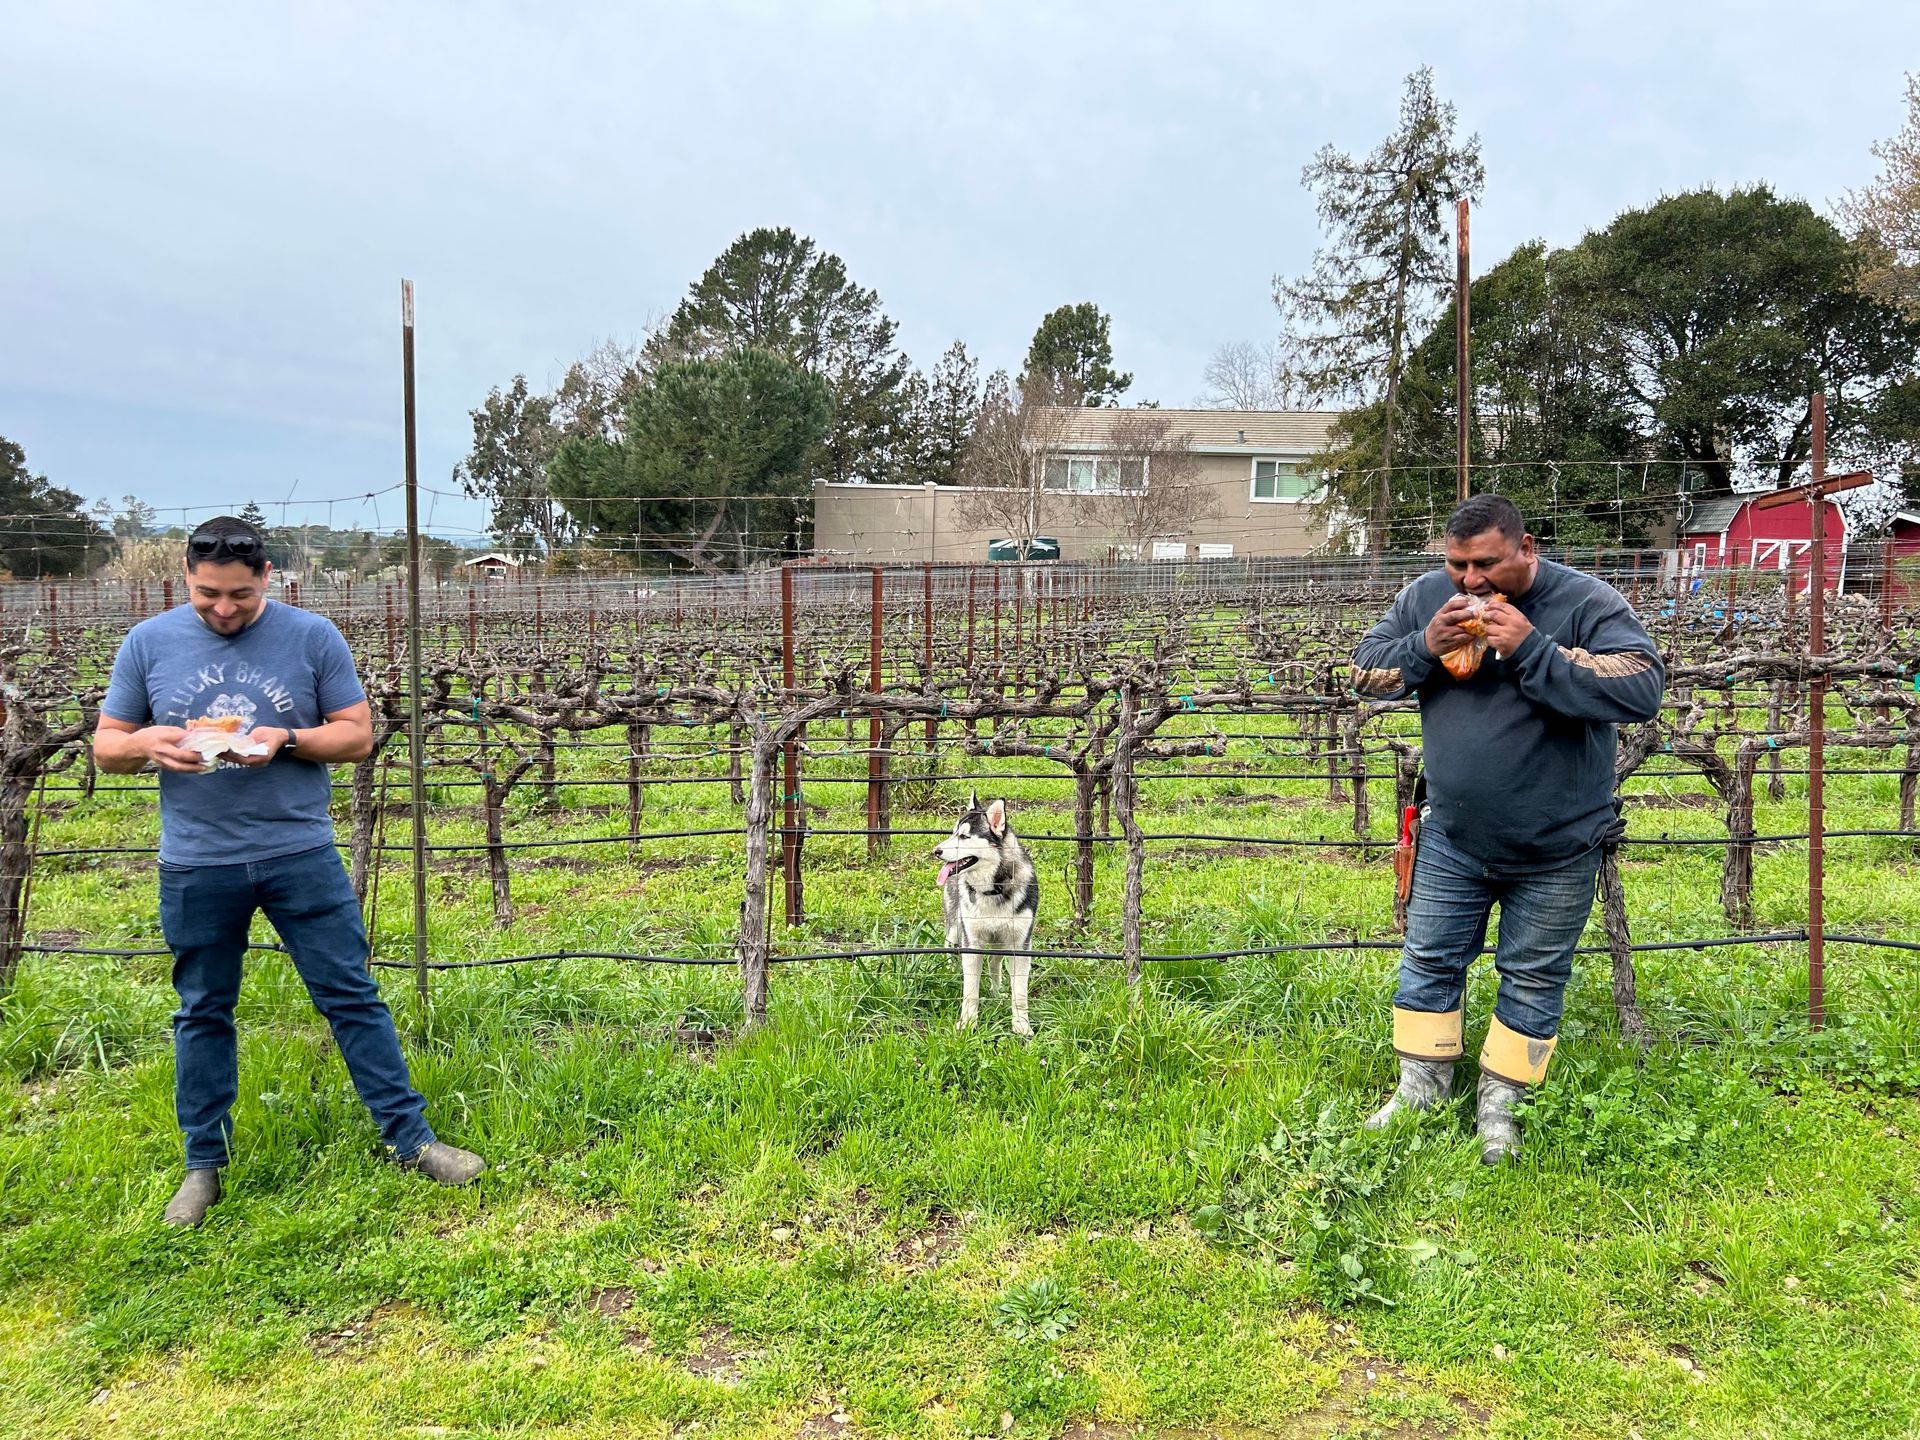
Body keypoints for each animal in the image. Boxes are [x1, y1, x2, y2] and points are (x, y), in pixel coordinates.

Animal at [929, 802, 1036, 1036]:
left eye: (964, 836)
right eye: (952, 833)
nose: (936, 851)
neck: (993, 889)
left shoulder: (1020, 945)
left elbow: (1020, 993)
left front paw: (1021, 1024)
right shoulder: (972, 943)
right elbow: (970, 991)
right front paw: (968, 1022)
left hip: (1000, 944)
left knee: (994, 963)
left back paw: (996, 994)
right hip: (955, 927)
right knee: (950, 948)